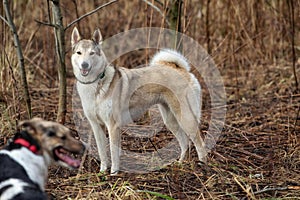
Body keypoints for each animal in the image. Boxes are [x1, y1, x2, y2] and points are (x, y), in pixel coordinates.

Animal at [70, 27, 206, 174]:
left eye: (92, 53)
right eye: (79, 53)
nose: (84, 65)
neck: (96, 84)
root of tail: (180, 68)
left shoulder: (113, 126)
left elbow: (113, 152)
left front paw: (113, 173)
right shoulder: (96, 126)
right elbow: (102, 152)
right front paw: (102, 171)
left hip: (185, 118)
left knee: (199, 143)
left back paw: (203, 165)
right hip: (170, 120)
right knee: (184, 141)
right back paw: (180, 163)